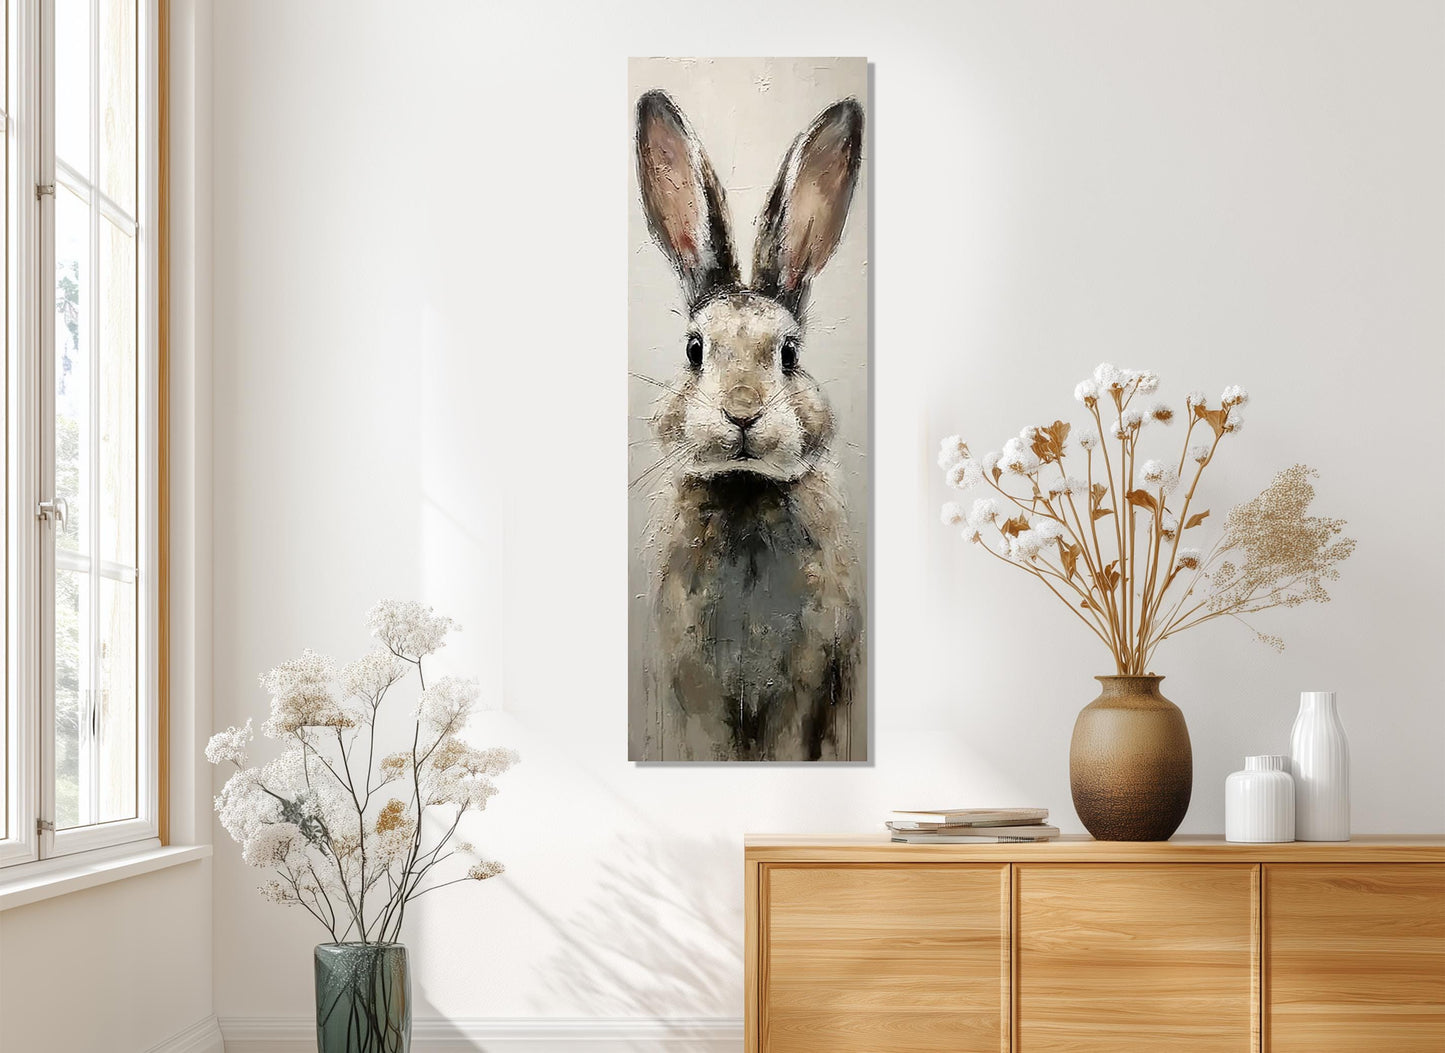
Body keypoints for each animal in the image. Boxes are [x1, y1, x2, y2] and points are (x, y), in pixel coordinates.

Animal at [633, 89, 865, 762]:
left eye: (789, 353)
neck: (744, 488)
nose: (742, 412)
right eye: (694, 349)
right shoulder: (694, 693)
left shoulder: (807, 689)